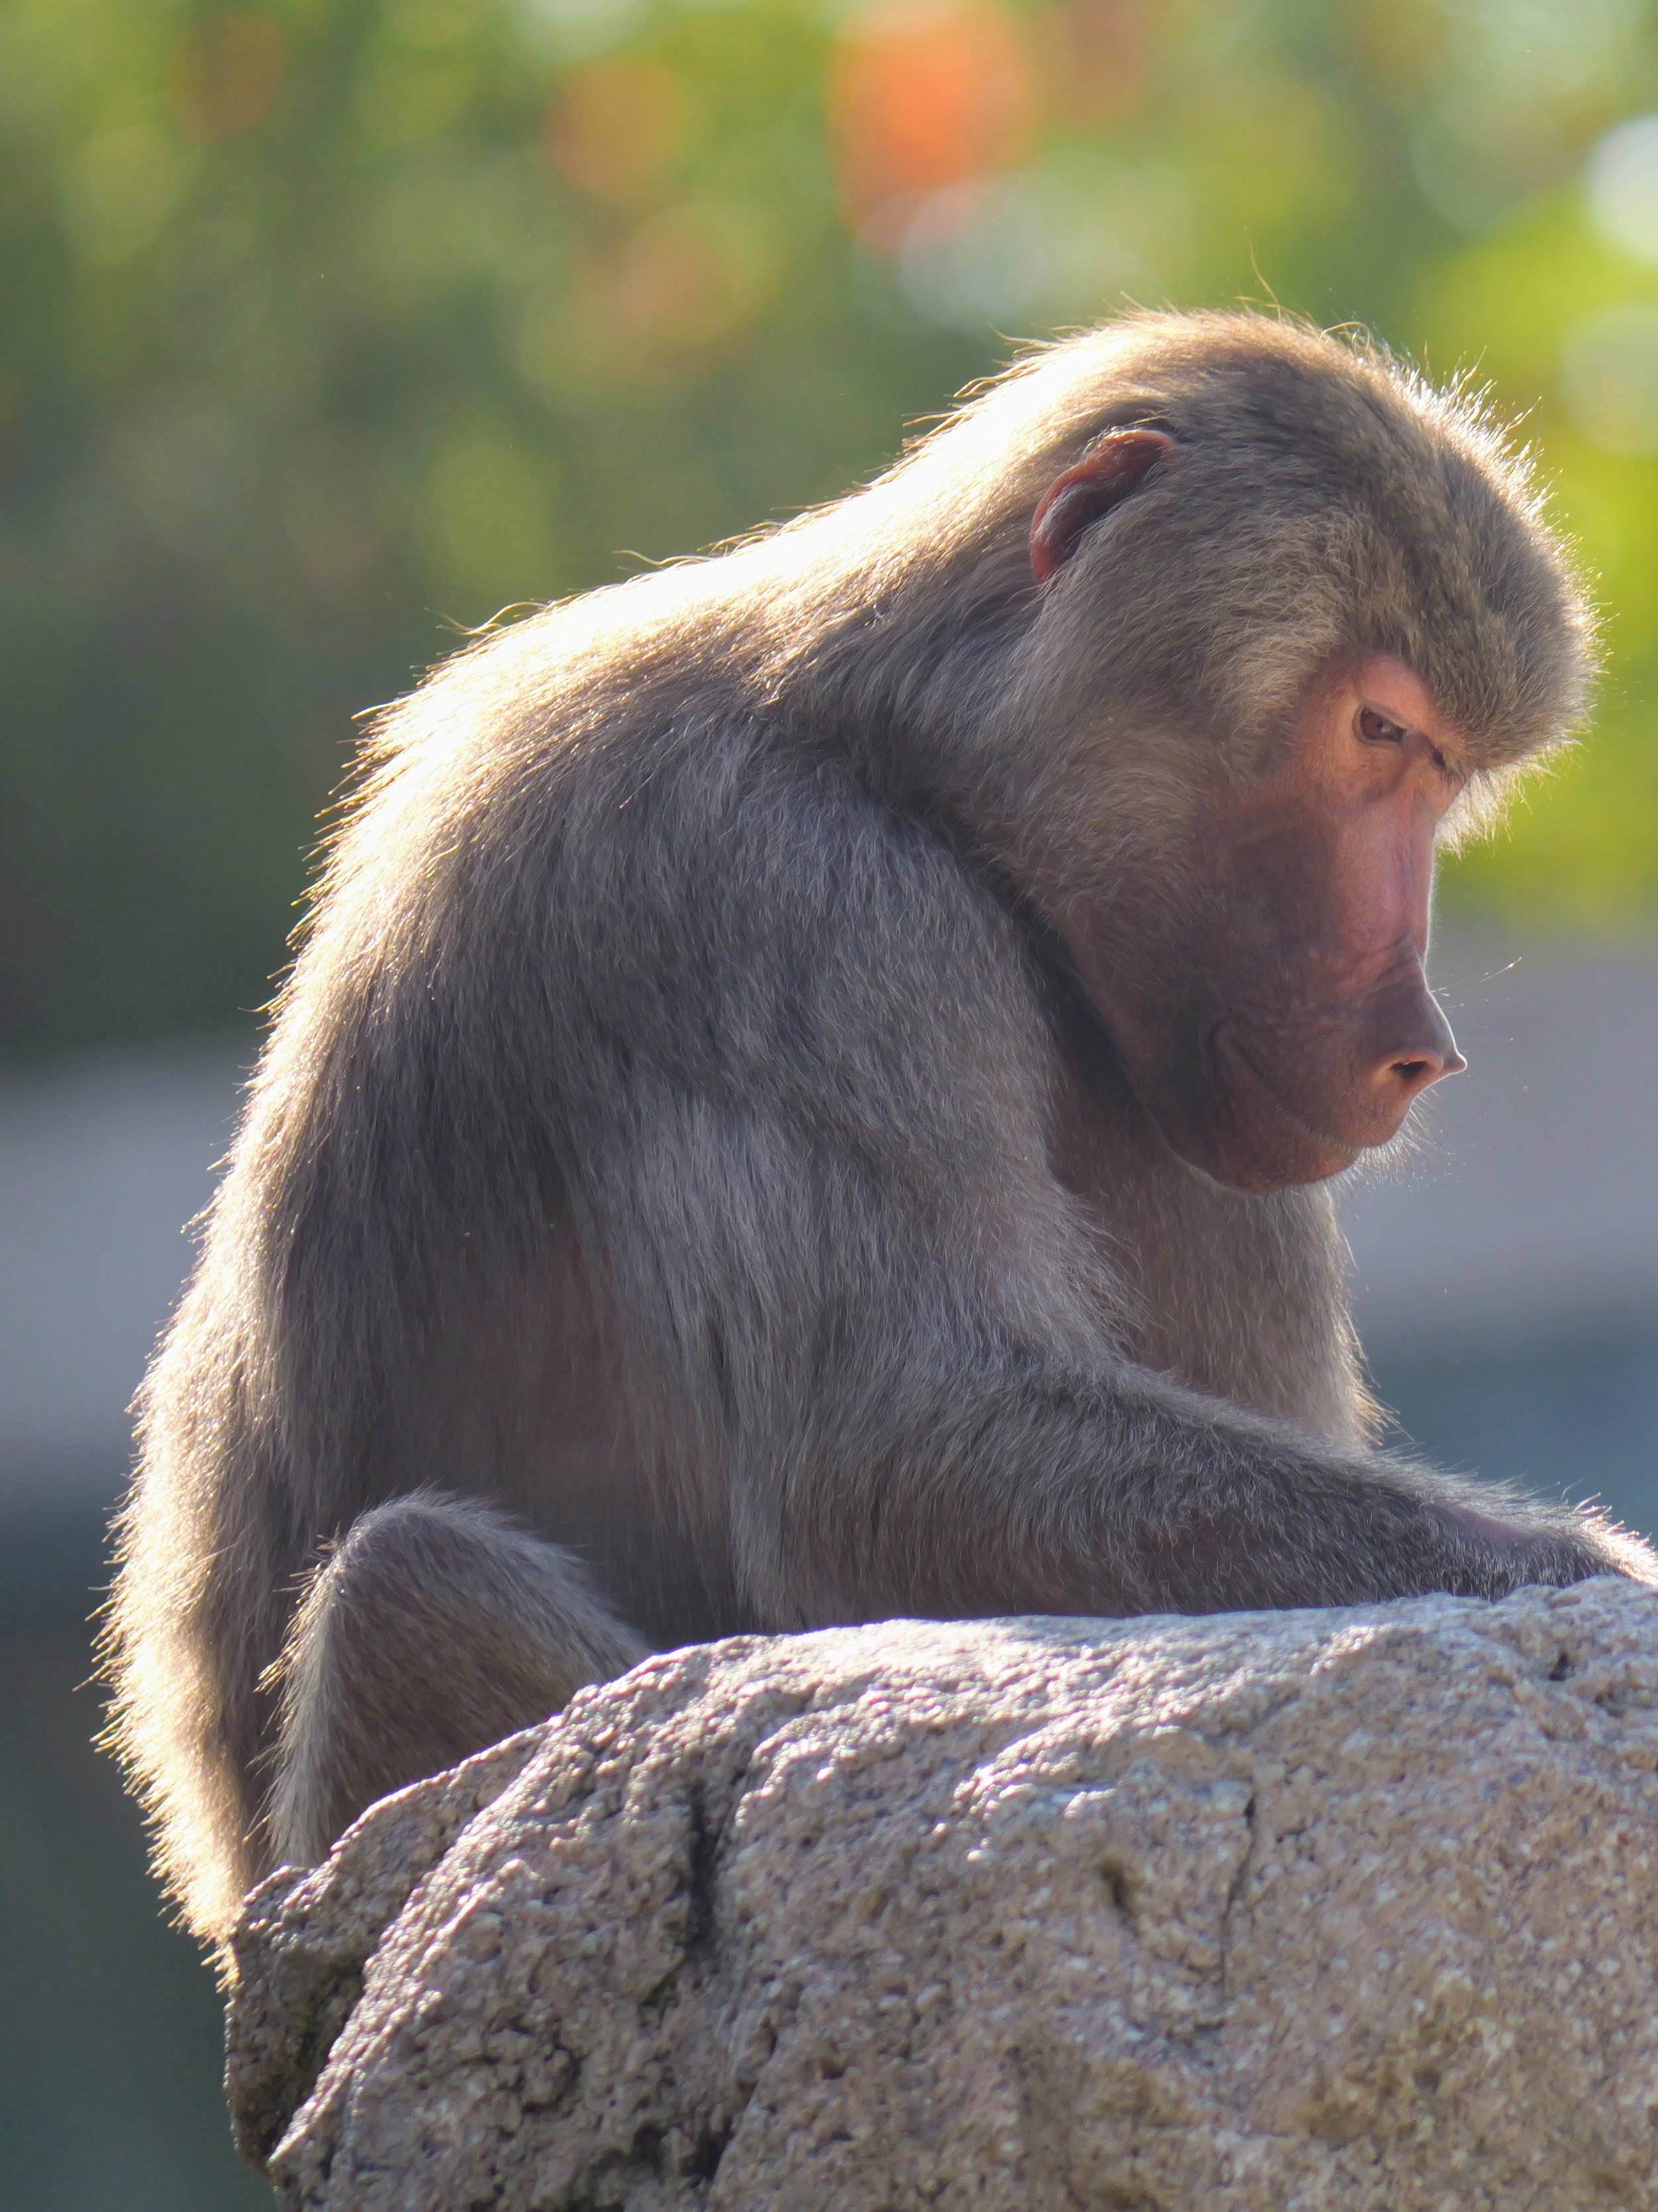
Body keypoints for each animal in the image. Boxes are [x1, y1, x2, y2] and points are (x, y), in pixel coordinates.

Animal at [106, 310, 1657, 1952]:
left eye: (1443, 767)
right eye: (1376, 729)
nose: (1420, 1046)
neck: (900, 761)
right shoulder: (778, 896)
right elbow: (896, 1451)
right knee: (417, 1580)